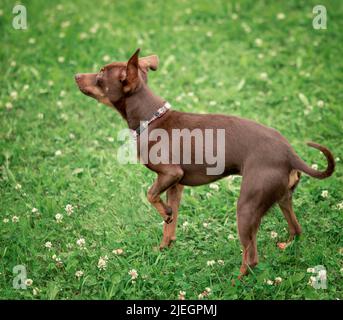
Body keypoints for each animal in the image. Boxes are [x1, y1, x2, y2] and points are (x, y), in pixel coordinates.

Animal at [75, 48, 336, 276]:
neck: (151, 119)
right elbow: (170, 224)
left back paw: (236, 282)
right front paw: (164, 246)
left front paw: (164, 214)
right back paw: (285, 245)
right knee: (295, 229)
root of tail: (290, 153)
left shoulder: (171, 174)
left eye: (100, 73)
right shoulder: (175, 186)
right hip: (282, 198)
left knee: (251, 256)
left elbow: (150, 195)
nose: (76, 75)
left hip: (247, 207)